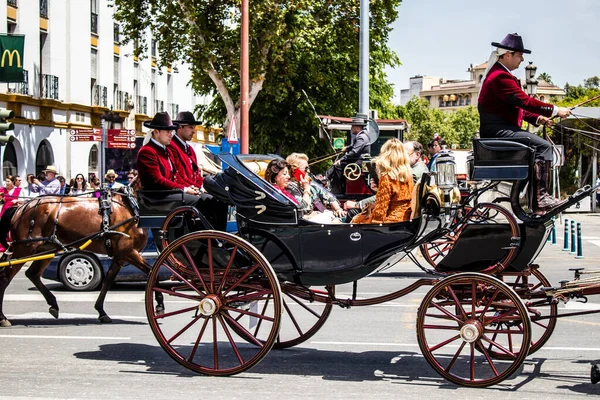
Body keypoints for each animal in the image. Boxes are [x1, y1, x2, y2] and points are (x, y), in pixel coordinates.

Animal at [0, 189, 163, 326]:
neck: (129, 207)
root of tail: (21, 207)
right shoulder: (128, 252)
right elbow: (153, 274)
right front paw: (160, 304)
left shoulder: (119, 257)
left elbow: (107, 281)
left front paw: (101, 311)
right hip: (24, 249)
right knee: (5, 278)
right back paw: (3, 318)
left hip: (46, 249)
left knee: (32, 274)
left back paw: (53, 304)